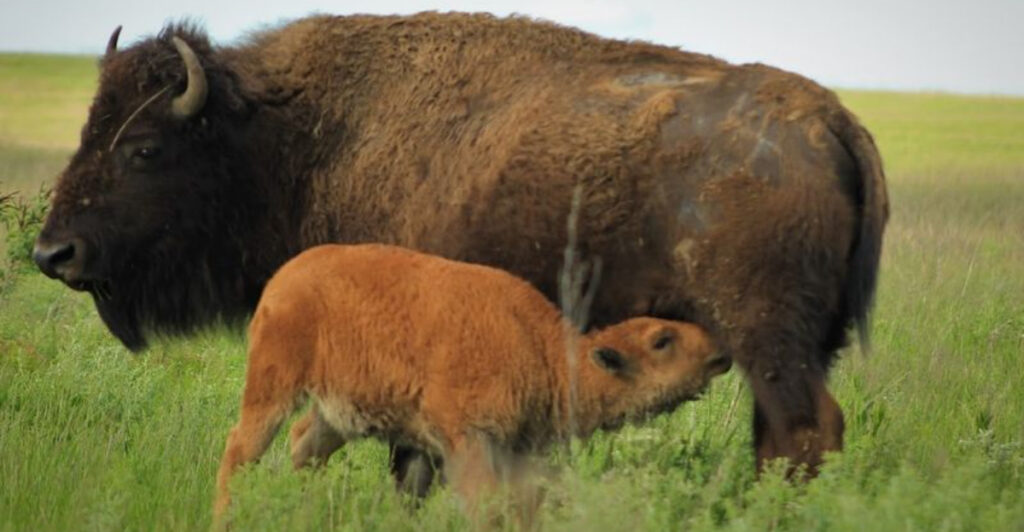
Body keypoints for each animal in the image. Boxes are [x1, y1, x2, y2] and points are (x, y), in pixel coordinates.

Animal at [33, 13, 887, 478]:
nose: (52, 255)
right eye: (87, 129)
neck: (298, 135)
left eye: (142, 147)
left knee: (800, 430)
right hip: (800, 345)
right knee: (786, 436)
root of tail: (832, 121)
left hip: (768, 339)